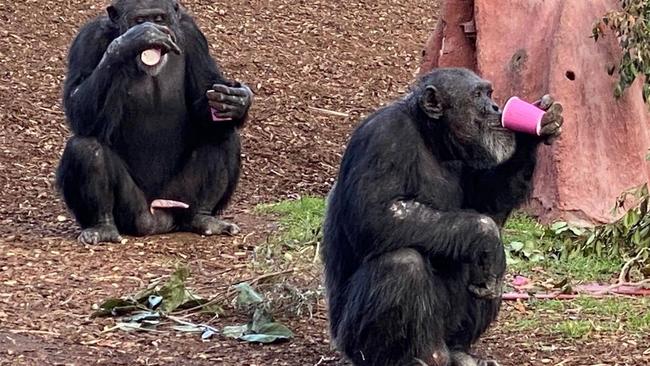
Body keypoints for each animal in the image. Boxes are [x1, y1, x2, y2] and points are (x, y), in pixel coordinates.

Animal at [57, 0, 252, 246]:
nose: (154, 30)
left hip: (180, 199)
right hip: (134, 212)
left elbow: (204, 91)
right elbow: (77, 105)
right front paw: (129, 42)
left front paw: (237, 101)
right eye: (140, 21)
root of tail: (159, 218)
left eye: (159, 18)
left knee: (223, 138)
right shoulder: (88, 39)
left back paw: (204, 218)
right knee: (86, 148)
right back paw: (102, 227)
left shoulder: (193, 35)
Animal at [320, 69, 560, 366]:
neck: (431, 139)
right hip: (354, 343)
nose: (495, 107)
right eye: (477, 95)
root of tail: (438, 351)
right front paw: (487, 236)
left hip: (444, 335)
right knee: (402, 264)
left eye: (489, 93)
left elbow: (487, 204)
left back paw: (461, 352)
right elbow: (374, 217)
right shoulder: (382, 139)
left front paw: (534, 132)